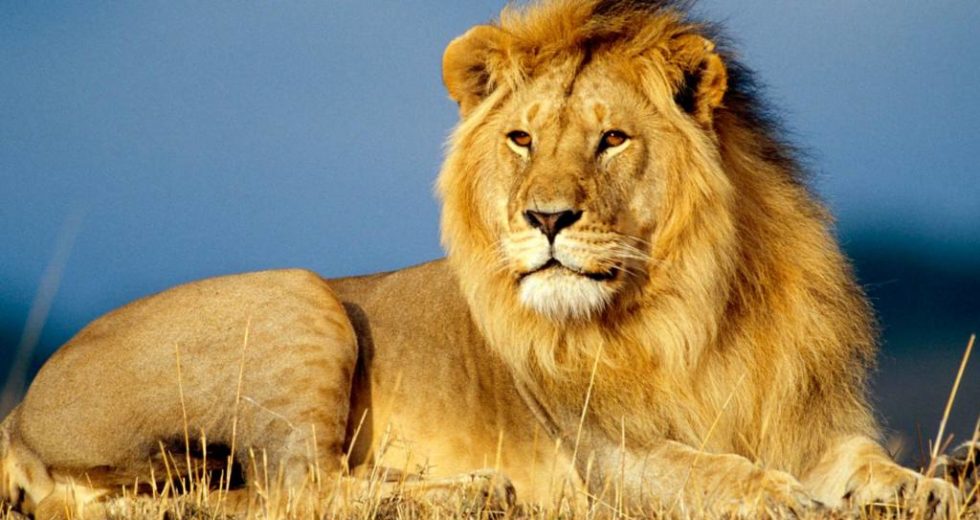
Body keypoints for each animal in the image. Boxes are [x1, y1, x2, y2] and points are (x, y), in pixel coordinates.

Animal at [0, 0, 972, 518]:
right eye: (521, 139)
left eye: (612, 139)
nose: (546, 217)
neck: (693, 306)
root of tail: (21, 416)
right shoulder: (604, 454)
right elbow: (711, 469)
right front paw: (781, 497)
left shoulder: (810, 423)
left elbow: (872, 464)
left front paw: (924, 488)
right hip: (299, 298)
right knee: (297, 488)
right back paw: (470, 489)